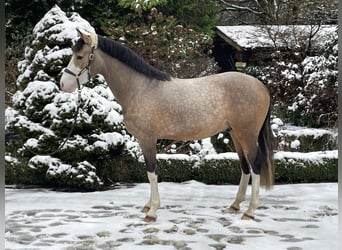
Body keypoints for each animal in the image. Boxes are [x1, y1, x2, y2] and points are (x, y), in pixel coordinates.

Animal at [60, 29, 276, 223]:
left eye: (80, 56)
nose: (63, 84)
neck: (139, 89)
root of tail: (261, 86)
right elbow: (150, 172)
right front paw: (149, 205)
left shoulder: (147, 139)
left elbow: (151, 171)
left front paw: (152, 211)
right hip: (236, 134)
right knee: (245, 167)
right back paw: (235, 205)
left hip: (247, 135)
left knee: (255, 165)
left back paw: (250, 211)